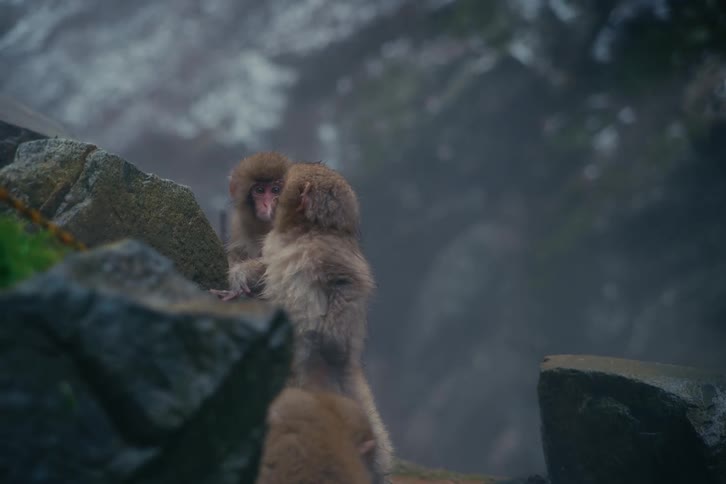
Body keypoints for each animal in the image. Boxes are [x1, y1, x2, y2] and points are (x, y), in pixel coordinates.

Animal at [259, 162, 394, 483]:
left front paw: (333, 342)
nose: (270, 204)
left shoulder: (327, 250)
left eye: (278, 188)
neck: (303, 232)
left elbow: (344, 286)